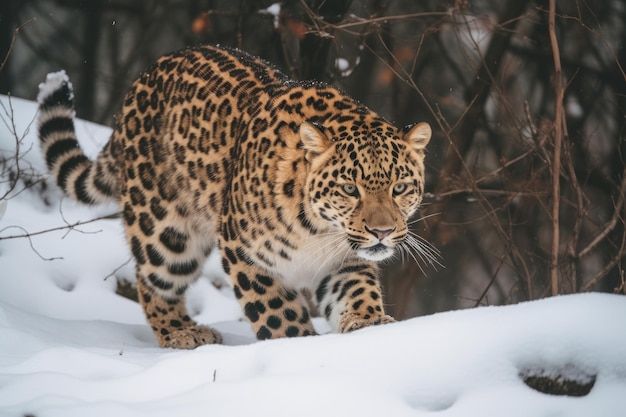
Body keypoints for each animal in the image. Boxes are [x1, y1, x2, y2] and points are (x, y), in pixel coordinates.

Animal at [37, 44, 428, 348]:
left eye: (399, 187)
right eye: (349, 188)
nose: (382, 232)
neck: (316, 230)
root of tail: (146, 75)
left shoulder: (344, 259)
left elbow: (357, 292)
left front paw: (369, 326)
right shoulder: (244, 253)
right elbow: (277, 315)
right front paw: (297, 347)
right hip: (164, 231)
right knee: (152, 280)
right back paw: (181, 333)